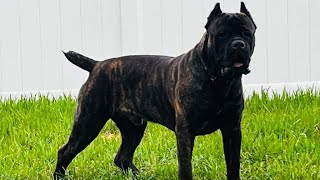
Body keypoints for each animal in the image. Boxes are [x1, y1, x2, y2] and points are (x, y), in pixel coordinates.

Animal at [53, 2, 256, 179]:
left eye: (247, 33)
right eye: (222, 34)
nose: (238, 44)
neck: (218, 81)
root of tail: (96, 65)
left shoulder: (232, 129)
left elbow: (233, 165)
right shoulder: (185, 132)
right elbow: (185, 168)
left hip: (133, 128)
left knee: (122, 157)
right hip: (88, 123)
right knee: (65, 151)